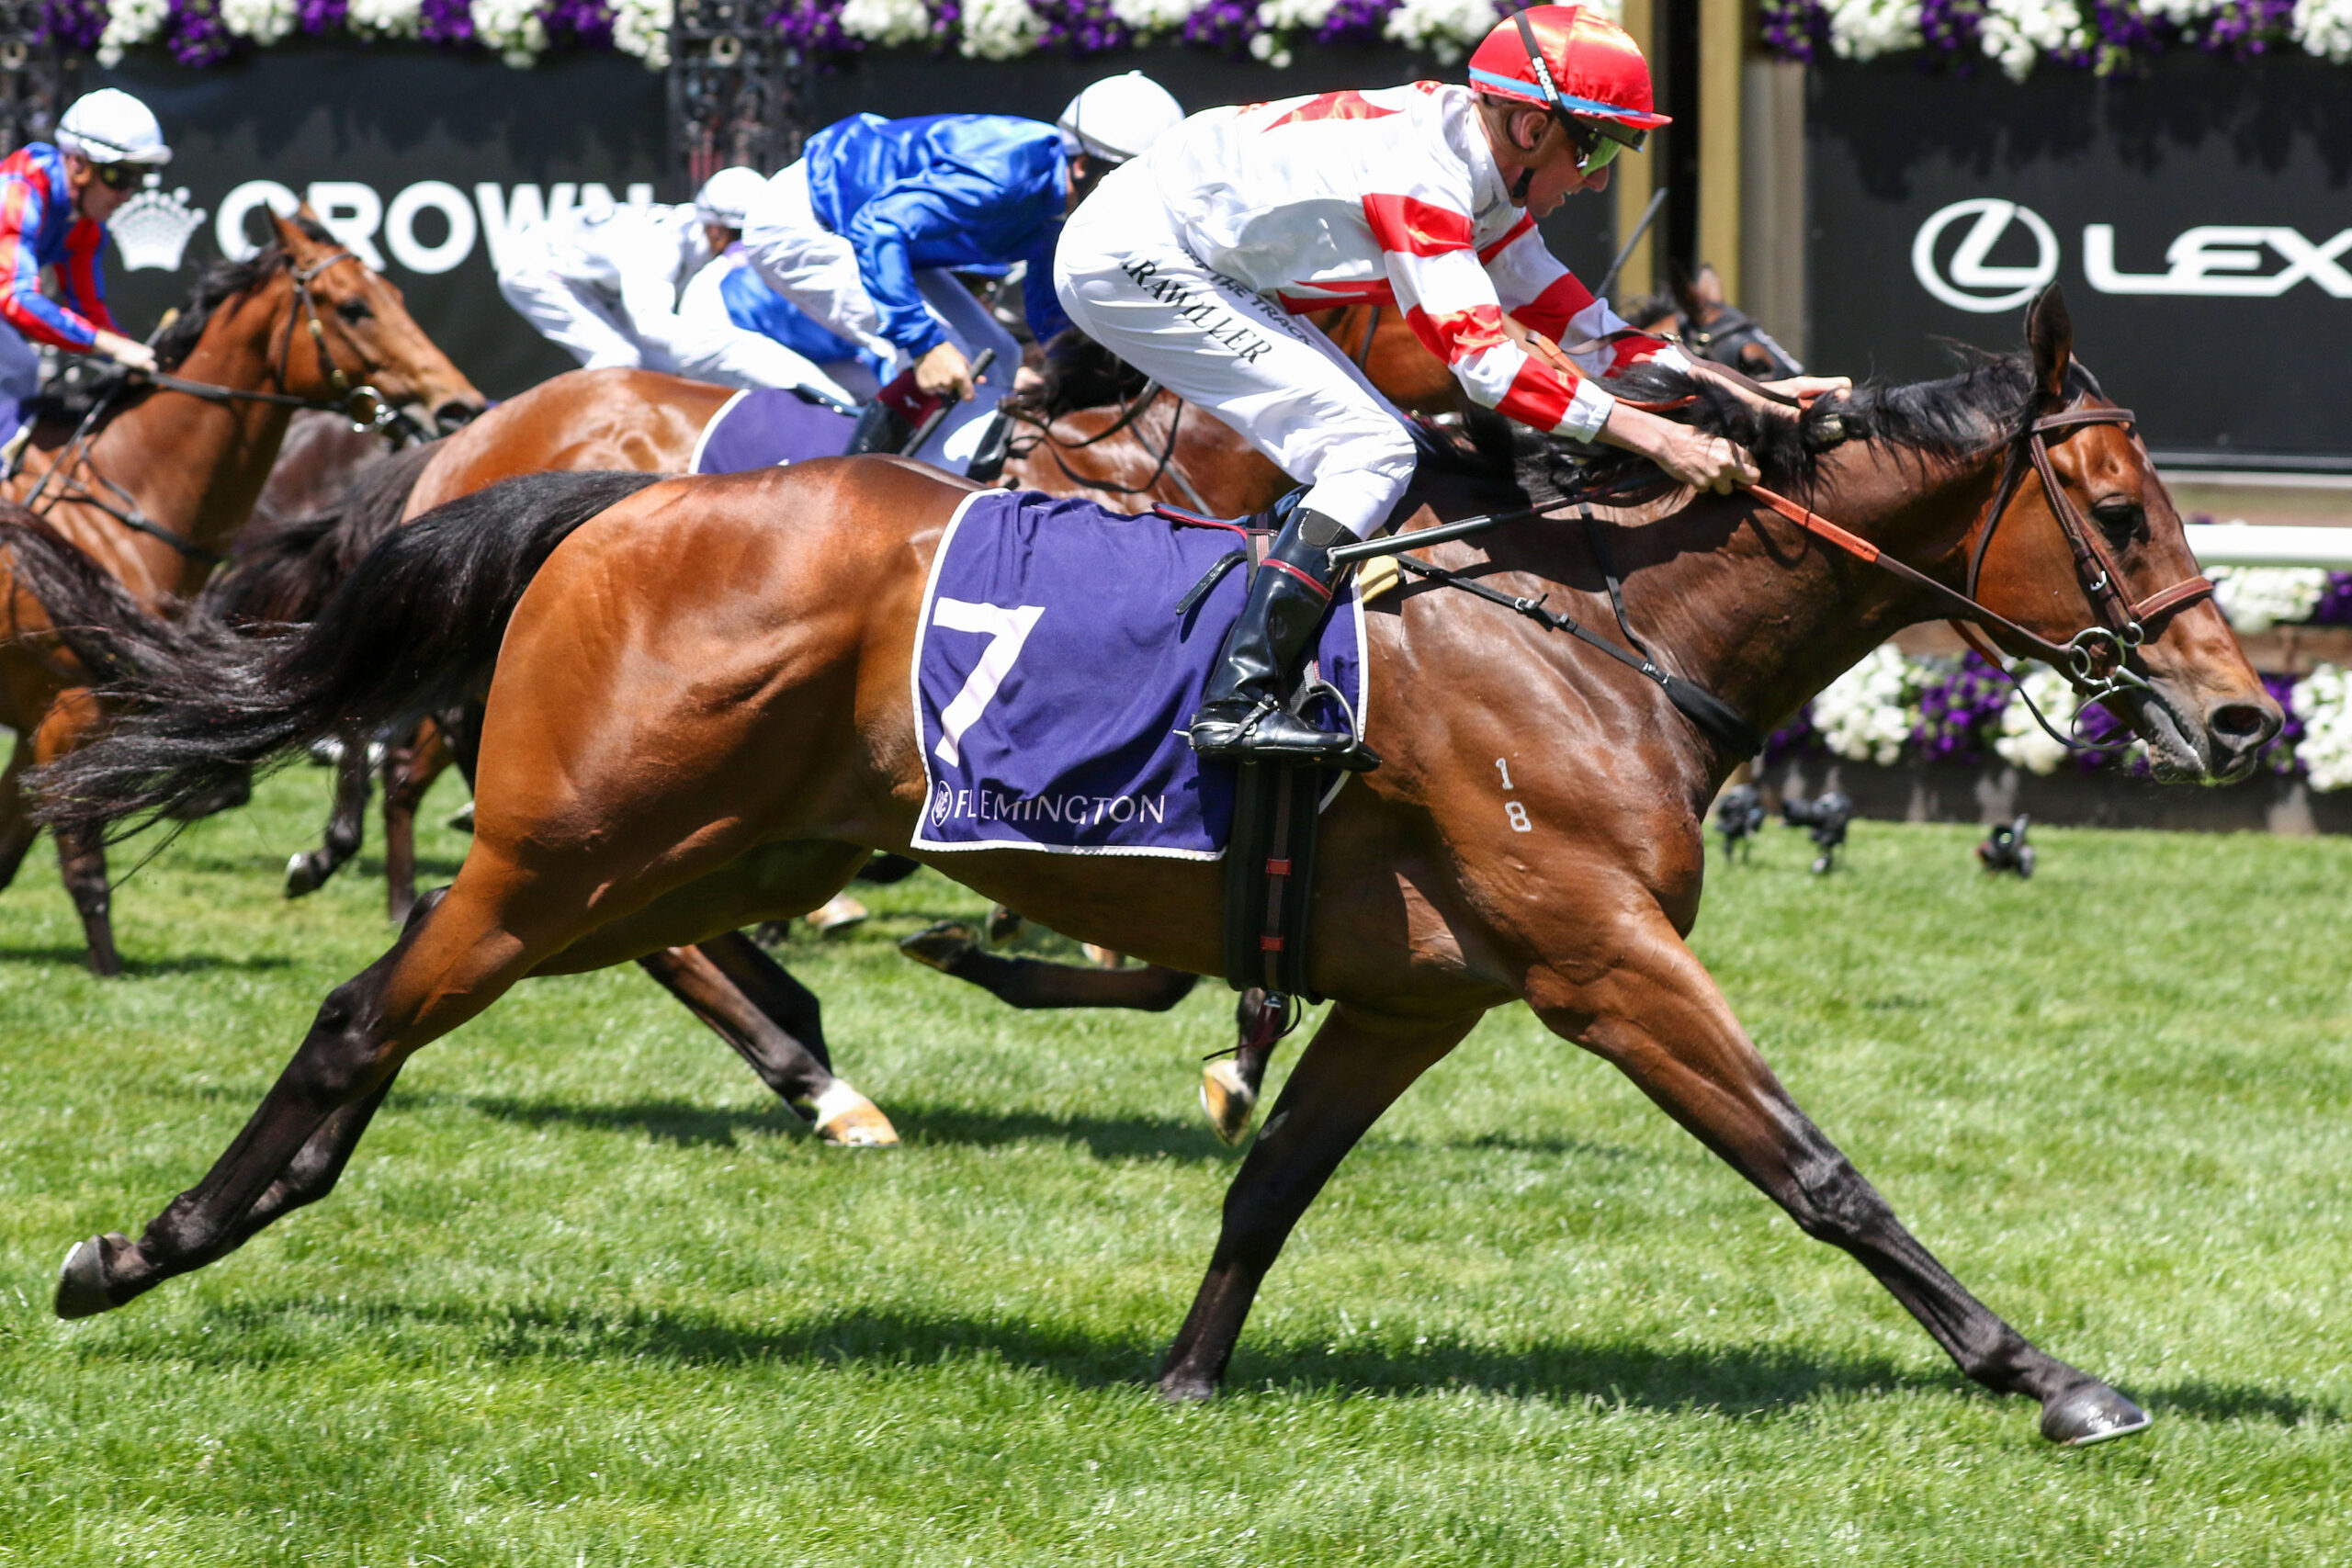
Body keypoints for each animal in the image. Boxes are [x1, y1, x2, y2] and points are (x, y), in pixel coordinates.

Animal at [0, 209, 482, 973]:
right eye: (355, 306)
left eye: (399, 295)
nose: (459, 405)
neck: (111, 511)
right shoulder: (66, 715)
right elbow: (83, 862)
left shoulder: (42, 720)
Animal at [41, 287, 2278, 1444]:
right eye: (2110, 505)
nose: (2251, 716)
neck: (1598, 627)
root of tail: (605, 496)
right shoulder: (1598, 956)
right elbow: (1817, 1165)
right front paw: (2051, 1374)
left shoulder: (1418, 992)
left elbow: (1271, 1178)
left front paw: (1187, 1369)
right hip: (573, 846)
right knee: (363, 1019)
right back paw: (142, 1246)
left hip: (701, 855)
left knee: (608, 978)